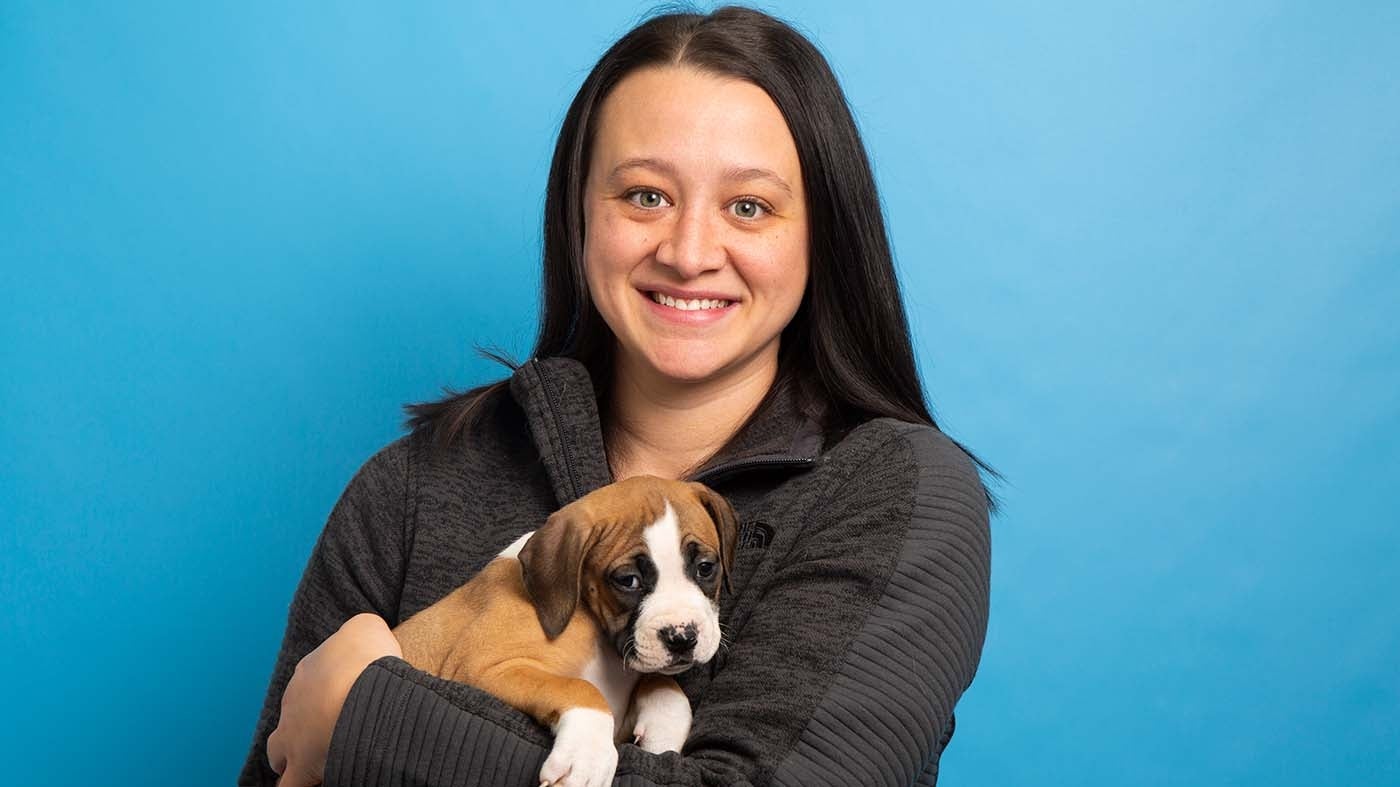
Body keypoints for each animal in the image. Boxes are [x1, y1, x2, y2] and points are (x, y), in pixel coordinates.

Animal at [389, 470, 739, 784]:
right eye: (628, 580)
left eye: (705, 568)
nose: (682, 638)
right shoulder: (478, 669)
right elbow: (578, 687)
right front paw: (587, 758)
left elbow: (665, 685)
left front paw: (663, 726)